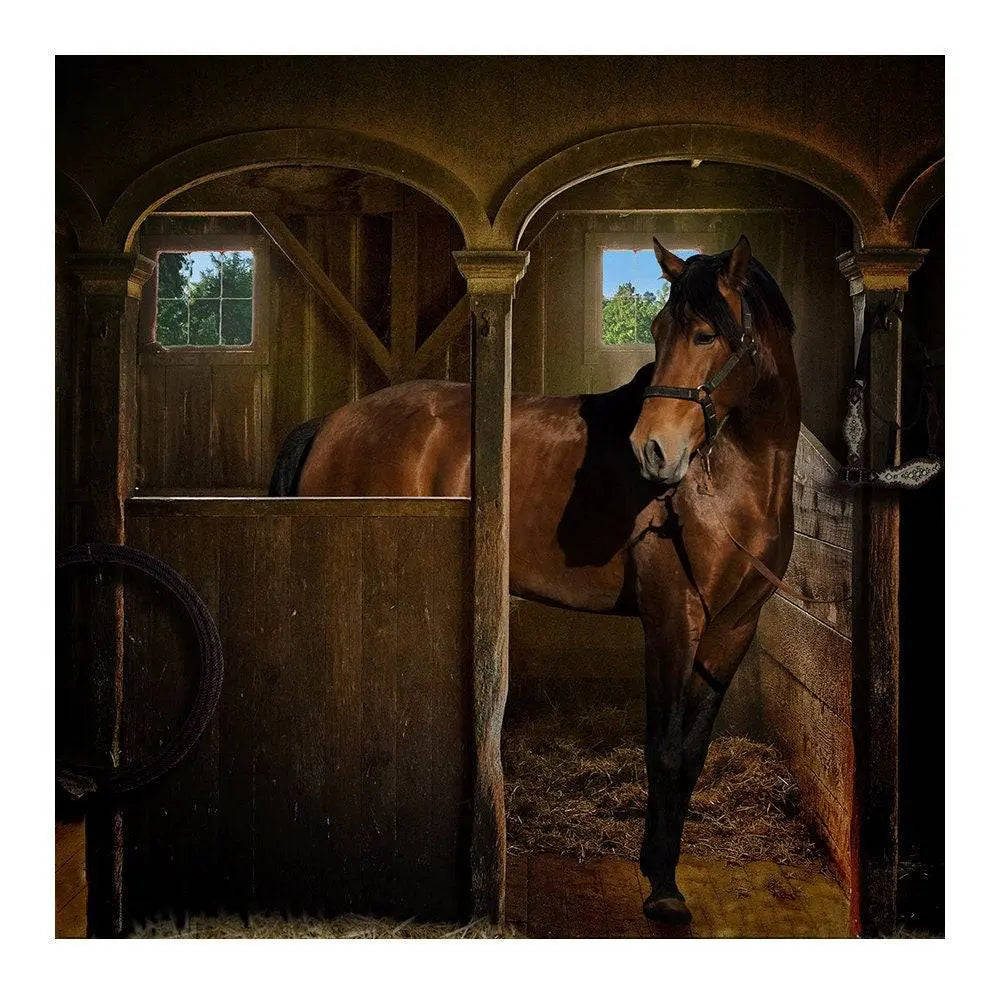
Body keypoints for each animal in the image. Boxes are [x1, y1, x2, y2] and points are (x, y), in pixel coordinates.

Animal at [269, 235, 801, 924]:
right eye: (660, 330)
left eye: (707, 334)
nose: (652, 452)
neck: (735, 483)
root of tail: (332, 423)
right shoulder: (672, 618)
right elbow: (662, 747)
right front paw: (660, 888)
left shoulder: (732, 628)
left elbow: (690, 754)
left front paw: (663, 869)